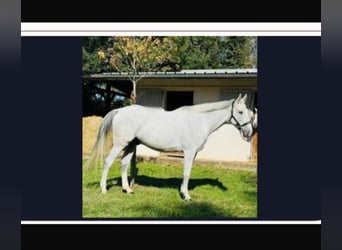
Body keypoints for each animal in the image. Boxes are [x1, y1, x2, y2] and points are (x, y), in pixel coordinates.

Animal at [84, 93, 252, 200]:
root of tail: (120, 110)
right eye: (240, 111)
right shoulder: (189, 151)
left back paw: (128, 190)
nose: (249, 132)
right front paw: (186, 196)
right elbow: (186, 173)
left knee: (124, 164)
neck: (200, 120)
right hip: (120, 144)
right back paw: (104, 189)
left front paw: (183, 192)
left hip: (130, 145)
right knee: (108, 162)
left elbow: (186, 173)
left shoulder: (193, 153)